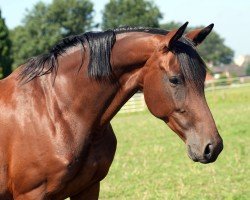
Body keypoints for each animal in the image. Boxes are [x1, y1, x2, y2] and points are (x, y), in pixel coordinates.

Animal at [0, 21, 223, 198]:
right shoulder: (31, 194)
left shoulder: (89, 187)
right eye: (174, 79)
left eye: (202, 78)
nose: (212, 146)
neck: (55, 112)